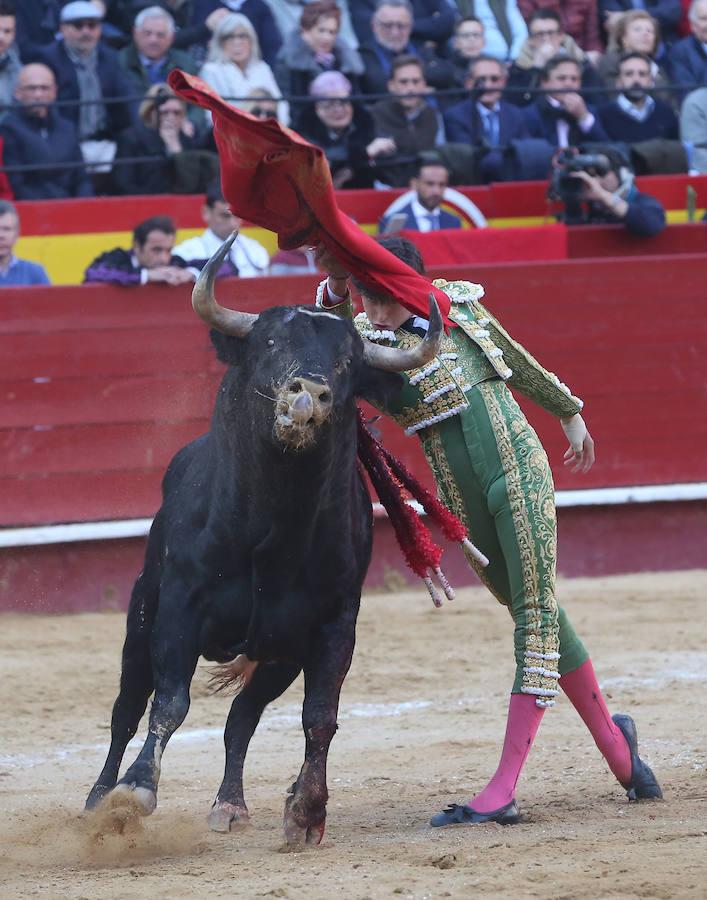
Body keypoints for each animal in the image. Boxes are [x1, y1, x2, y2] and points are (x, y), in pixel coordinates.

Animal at [85, 236, 442, 848]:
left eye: (347, 361)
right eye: (271, 343)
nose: (308, 394)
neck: (276, 525)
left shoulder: (330, 626)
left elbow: (320, 716)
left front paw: (307, 810)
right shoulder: (178, 609)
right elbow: (169, 701)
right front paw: (134, 792)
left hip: (276, 656)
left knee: (241, 718)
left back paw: (230, 804)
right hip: (140, 615)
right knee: (126, 707)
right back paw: (97, 799)